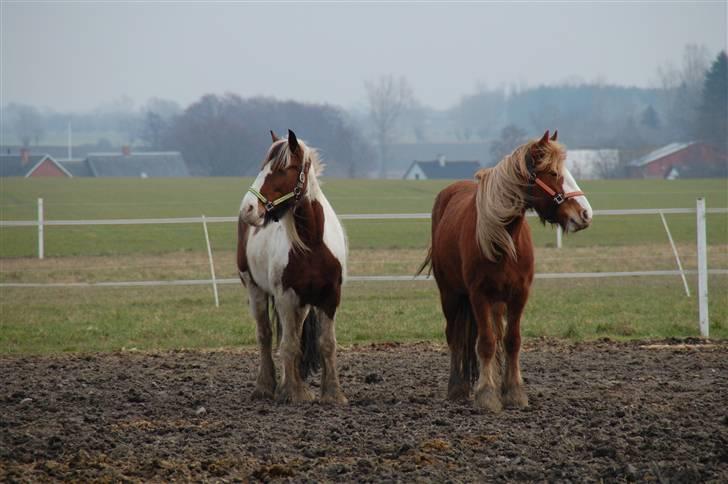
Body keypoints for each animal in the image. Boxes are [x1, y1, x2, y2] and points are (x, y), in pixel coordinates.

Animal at [235, 129, 346, 404]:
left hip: (302, 304)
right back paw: (266, 386)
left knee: (293, 332)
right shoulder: (285, 296)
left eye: (281, 169)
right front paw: (293, 392)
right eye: (262, 166)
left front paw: (332, 393)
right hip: (255, 289)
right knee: (265, 335)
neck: (313, 242)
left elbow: (326, 343)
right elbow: (289, 344)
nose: (248, 209)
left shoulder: (330, 297)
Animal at [420, 131, 592, 412]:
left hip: (497, 302)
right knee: (454, 336)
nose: (585, 213)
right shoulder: (478, 295)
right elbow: (486, 343)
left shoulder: (519, 294)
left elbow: (511, 341)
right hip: (450, 294)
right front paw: (487, 394)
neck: (502, 238)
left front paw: (513, 391)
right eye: (553, 173)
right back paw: (457, 387)